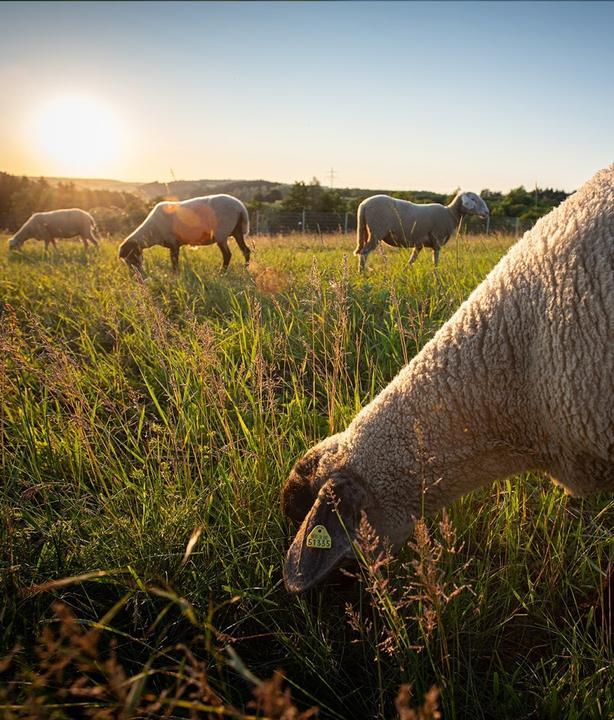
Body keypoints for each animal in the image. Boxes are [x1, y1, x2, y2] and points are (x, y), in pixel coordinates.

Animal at [119, 194, 251, 276]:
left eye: (131, 257)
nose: (136, 276)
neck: (150, 232)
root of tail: (241, 208)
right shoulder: (175, 244)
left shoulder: (173, 243)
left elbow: (174, 261)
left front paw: (175, 275)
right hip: (237, 231)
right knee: (246, 250)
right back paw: (245, 269)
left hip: (221, 233)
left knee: (227, 254)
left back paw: (222, 272)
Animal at [356, 191, 490, 270]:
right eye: (473, 199)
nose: (487, 212)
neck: (450, 214)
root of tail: (364, 204)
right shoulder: (437, 241)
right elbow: (435, 263)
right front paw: (437, 280)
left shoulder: (419, 244)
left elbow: (411, 260)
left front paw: (404, 272)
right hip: (377, 232)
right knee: (364, 252)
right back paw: (362, 275)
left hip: (368, 231)